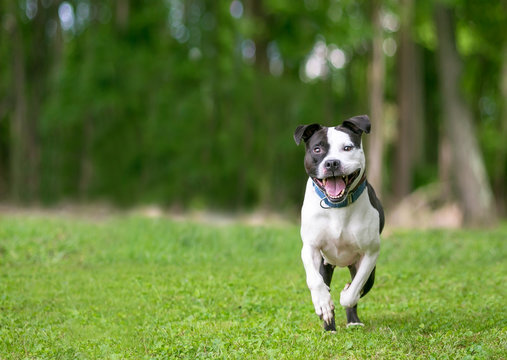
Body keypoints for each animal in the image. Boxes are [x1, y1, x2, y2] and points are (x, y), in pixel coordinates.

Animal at [294, 115, 384, 332]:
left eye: (347, 148)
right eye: (317, 149)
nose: (332, 163)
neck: (337, 206)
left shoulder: (370, 252)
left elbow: (357, 287)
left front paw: (345, 294)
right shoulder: (310, 248)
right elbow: (315, 281)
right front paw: (323, 303)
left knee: (363, 286)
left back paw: (352, 320)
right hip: (326, 264)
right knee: (323, 281)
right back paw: (329, 327)